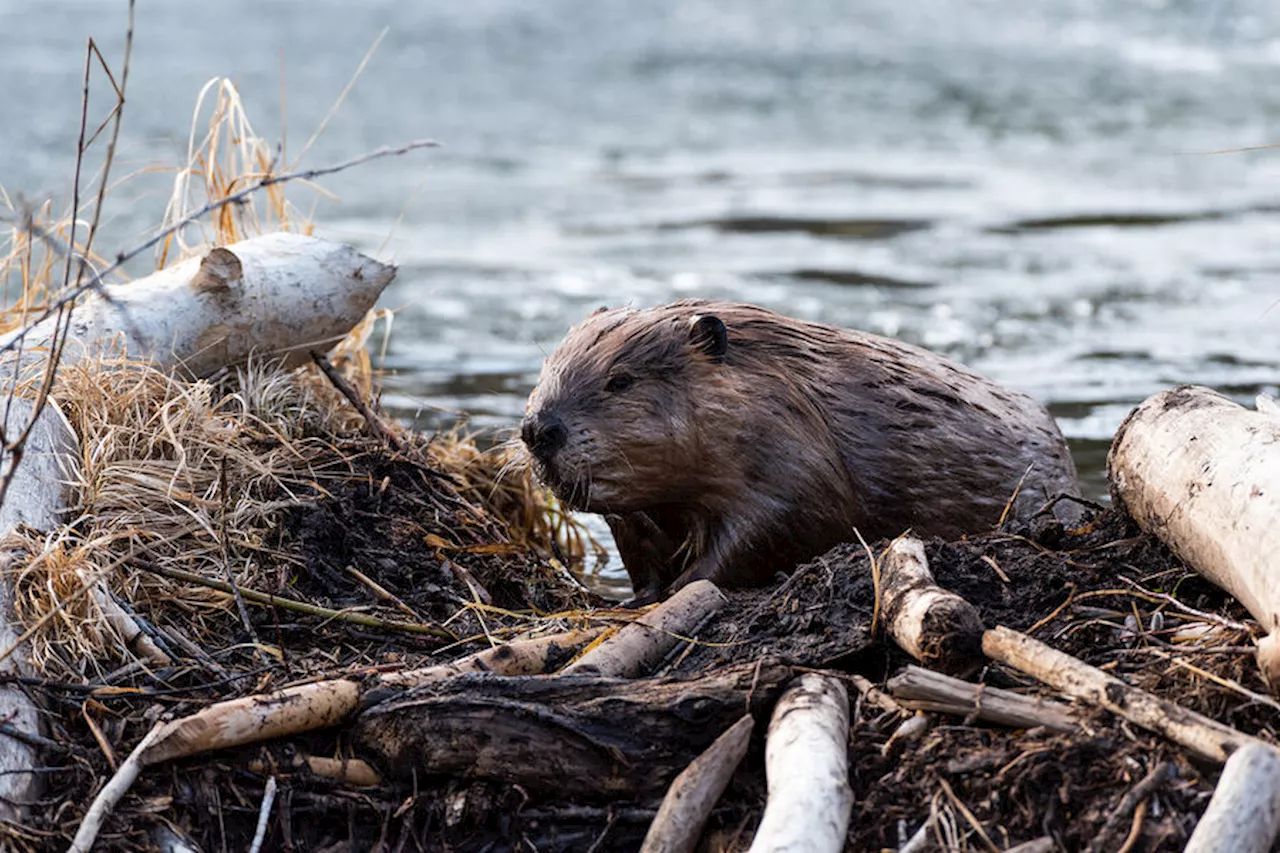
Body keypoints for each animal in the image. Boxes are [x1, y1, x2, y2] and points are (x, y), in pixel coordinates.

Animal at [519, 295, 1080, 601]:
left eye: (621, 380)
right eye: (547, 368)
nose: (538, 429)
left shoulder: (793, 458)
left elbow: (774, 526)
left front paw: (684, 588)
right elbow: (639, 548)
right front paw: (636, 599)